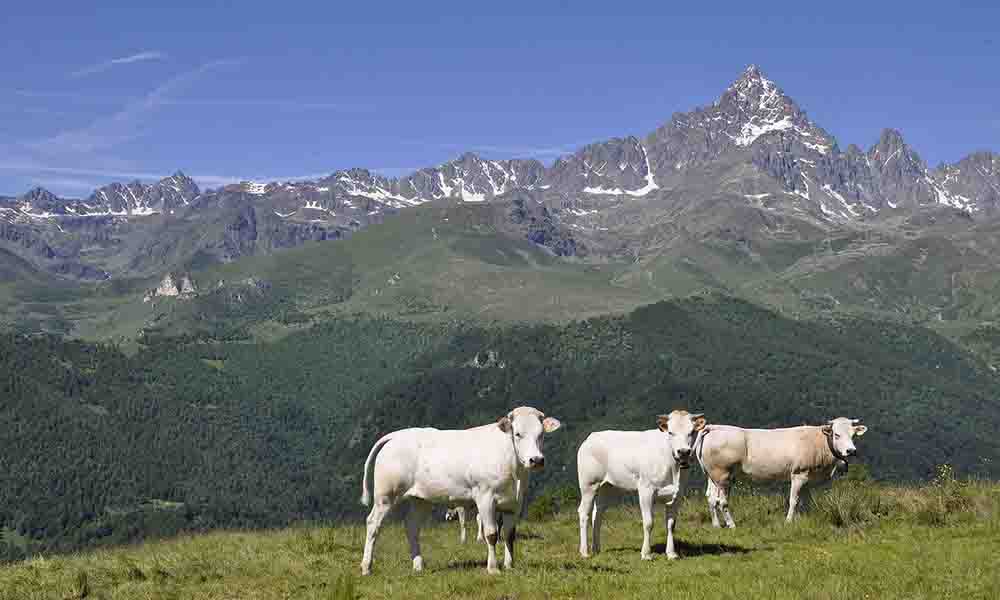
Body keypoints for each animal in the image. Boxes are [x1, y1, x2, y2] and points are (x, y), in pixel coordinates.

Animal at [360, 406, 564, 576]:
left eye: (541, 434)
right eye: (518, 434)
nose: (536, 460)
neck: (515, 471)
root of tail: (396, 436)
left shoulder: (515, 502)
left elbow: (509, 534)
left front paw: (509, 565)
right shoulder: (485, 497)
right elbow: (491, 534)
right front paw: (493, 568)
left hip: (421, 499)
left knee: (411, 526)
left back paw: (418, 565)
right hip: (386, 495)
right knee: (373, 524)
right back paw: (366, 567)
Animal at [576, 410, 708, 560]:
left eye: (691, 431)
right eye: (670, 432)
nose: (684, 451)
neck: (673, 468)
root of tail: (592, 437)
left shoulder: (678, 494)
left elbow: (671, 524)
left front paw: (671, 553)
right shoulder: (646, 490)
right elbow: (648, 523)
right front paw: (646, 554)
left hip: (607, 487)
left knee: (597, 514)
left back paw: (596, 549)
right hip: (589, 484)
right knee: (584, 513)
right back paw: (585, 552)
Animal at [696, 414, 868, 528]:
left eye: (853, 435)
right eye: (837, 435)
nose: (851, 450)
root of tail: (714, 427)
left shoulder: (808, 478)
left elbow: (804, 501)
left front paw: (801, 520)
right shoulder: (799, 474)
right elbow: (794, 500)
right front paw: (789, 521)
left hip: (713, 475)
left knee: (711, 498)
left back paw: (716, 525)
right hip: (723, 475)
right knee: (722, 501)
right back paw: (731, 525)